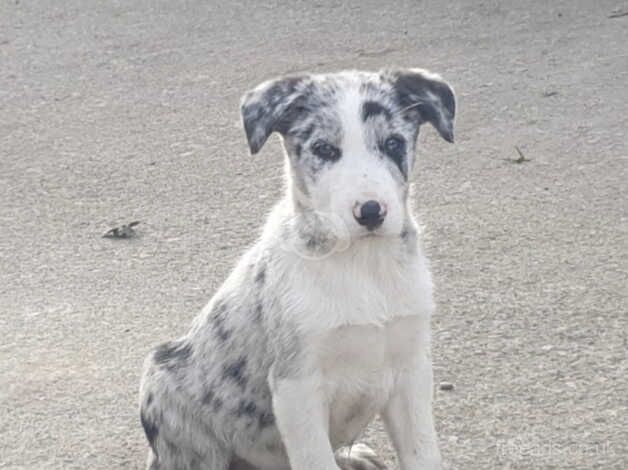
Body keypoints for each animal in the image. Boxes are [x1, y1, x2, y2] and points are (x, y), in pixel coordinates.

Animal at [140, 67, 456, 470]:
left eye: (393, 144)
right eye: (324, 149)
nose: (371, 211)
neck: (363, 265)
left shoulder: (411, 372)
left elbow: (423, 453)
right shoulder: (297, 387)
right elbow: (316, 460)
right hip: (167, 392)